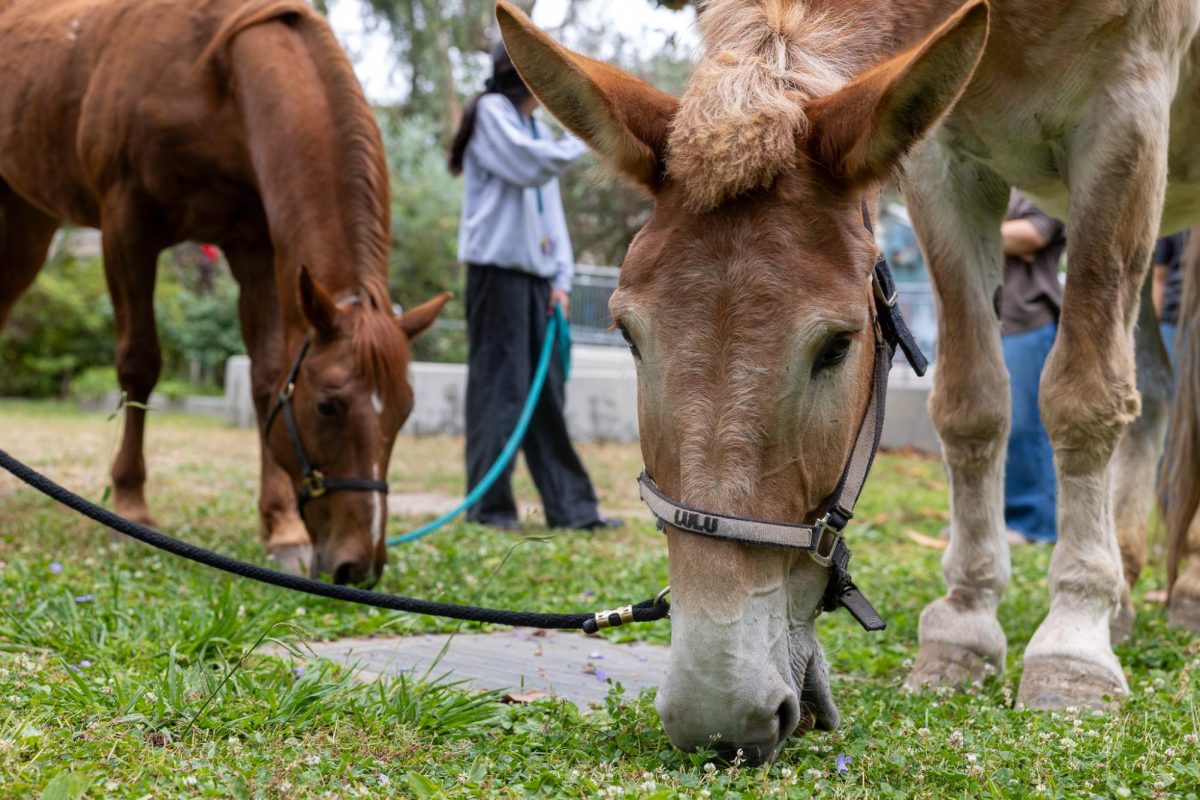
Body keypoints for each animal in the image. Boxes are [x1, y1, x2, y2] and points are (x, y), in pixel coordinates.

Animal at [0, 0, 451, 585]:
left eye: (405, 410)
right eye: (328, 406)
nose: (359, 567)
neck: (213, 74)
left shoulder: (256, 248)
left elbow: (266, 380)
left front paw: (282, 528)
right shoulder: (127, 226)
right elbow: (139, 363)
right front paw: (131, 506)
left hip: (28, 223)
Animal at [497, 0, 1200, 764]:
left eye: (837, 346)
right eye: (627, 333)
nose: (717, 708)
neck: (1015, 24)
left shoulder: (1124, 118)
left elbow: (1083, 397)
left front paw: (1073, 644)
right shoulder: (944, 163)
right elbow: (973, 403)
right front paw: (965, 629)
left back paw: (1182, 592)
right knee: (1158, 384)